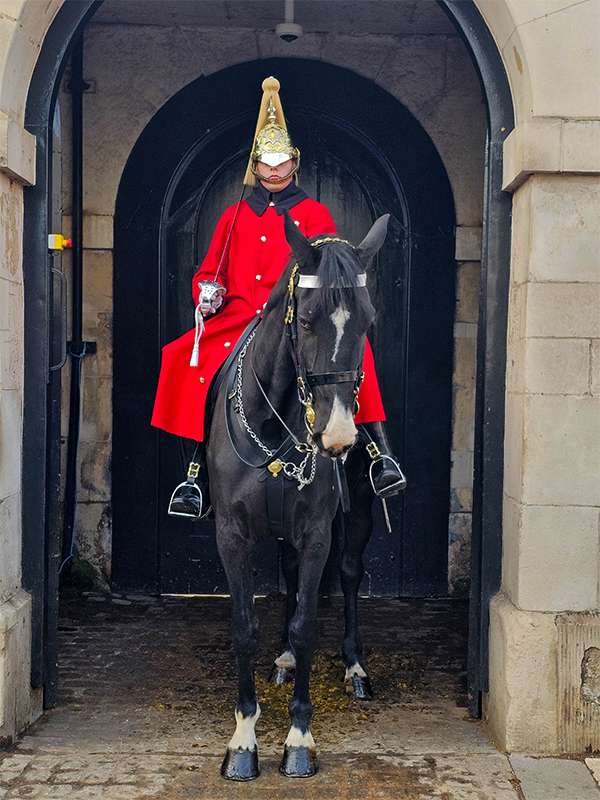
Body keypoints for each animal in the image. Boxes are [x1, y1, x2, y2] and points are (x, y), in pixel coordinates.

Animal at [207, 211, 389, 781]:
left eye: (368, 320)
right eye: (306, 319)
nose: (338, 437)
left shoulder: (314, 533)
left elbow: (308, 623)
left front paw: (299, 739)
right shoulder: (233, 535)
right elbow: (244, 626)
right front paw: (243, 740)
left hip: (356, 517)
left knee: (349, 574)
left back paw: (354, 666)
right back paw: (284, 659)